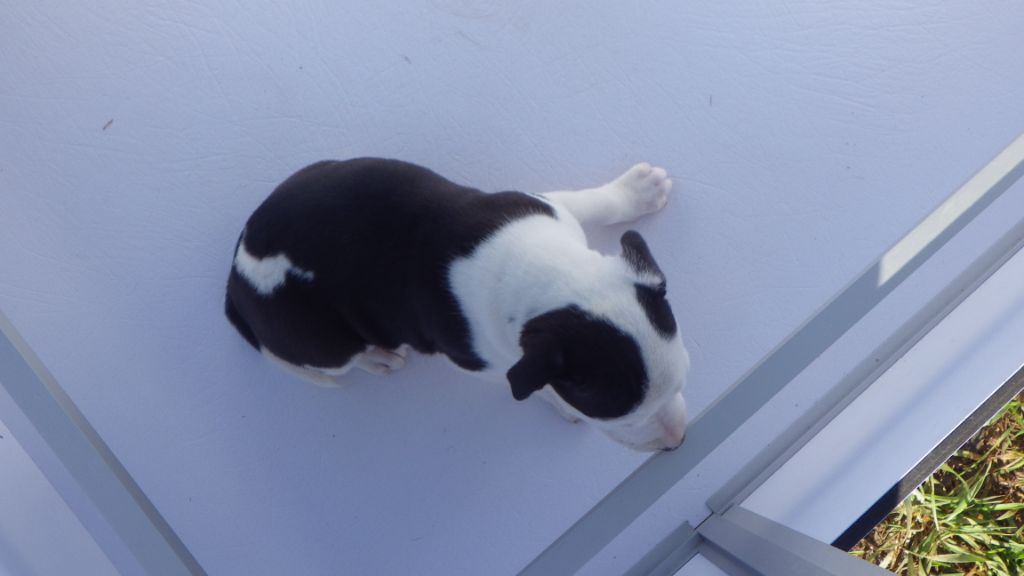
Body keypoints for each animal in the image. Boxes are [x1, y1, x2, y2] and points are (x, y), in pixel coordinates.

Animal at [225, 158, 690, 451]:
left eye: (682, 382)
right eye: (620, 418)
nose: (677, 442)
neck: (545, 273)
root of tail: (235, 284)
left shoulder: (547, 206)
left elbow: (593, 202)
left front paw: (639, 191)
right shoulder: (483, 362)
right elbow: (531, 385)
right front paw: (559, 405)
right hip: (327, 343)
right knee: (343, 358)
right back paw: (378, 357)